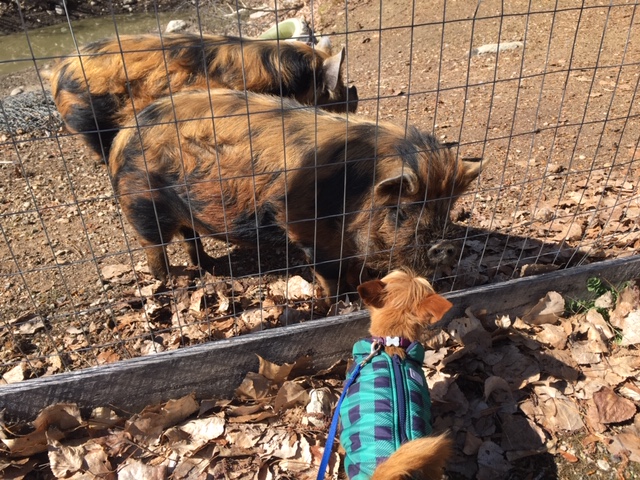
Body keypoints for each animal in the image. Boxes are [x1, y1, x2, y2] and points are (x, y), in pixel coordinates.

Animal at [108, 89, 484, 302]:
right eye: (402, 210)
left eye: (447, 208)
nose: (445, 245)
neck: (354, 191)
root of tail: (123, 136)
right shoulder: (305, 224)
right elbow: (330, 272)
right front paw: (339, 302)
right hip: (143, 203)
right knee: (155, 246)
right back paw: (170, 279)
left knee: (189, 236)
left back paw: (208, 266)